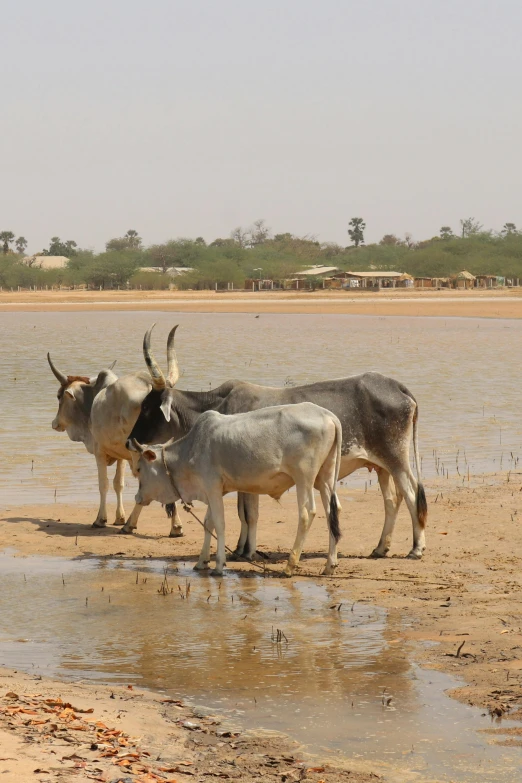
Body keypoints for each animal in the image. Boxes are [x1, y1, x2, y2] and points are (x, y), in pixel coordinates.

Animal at [128, 404, 344, 576]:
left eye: (139, 469)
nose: (137, 497)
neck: (191, 449)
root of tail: (328, 416)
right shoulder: (212, 490)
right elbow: (208, 523)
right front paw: (201, 561)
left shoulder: (212, 487)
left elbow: (219, 523)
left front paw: (218, 565)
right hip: (325, 478)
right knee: (331, 513)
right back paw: (330, 565)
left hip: (304, 478)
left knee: (307, 514)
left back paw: (290, 566)